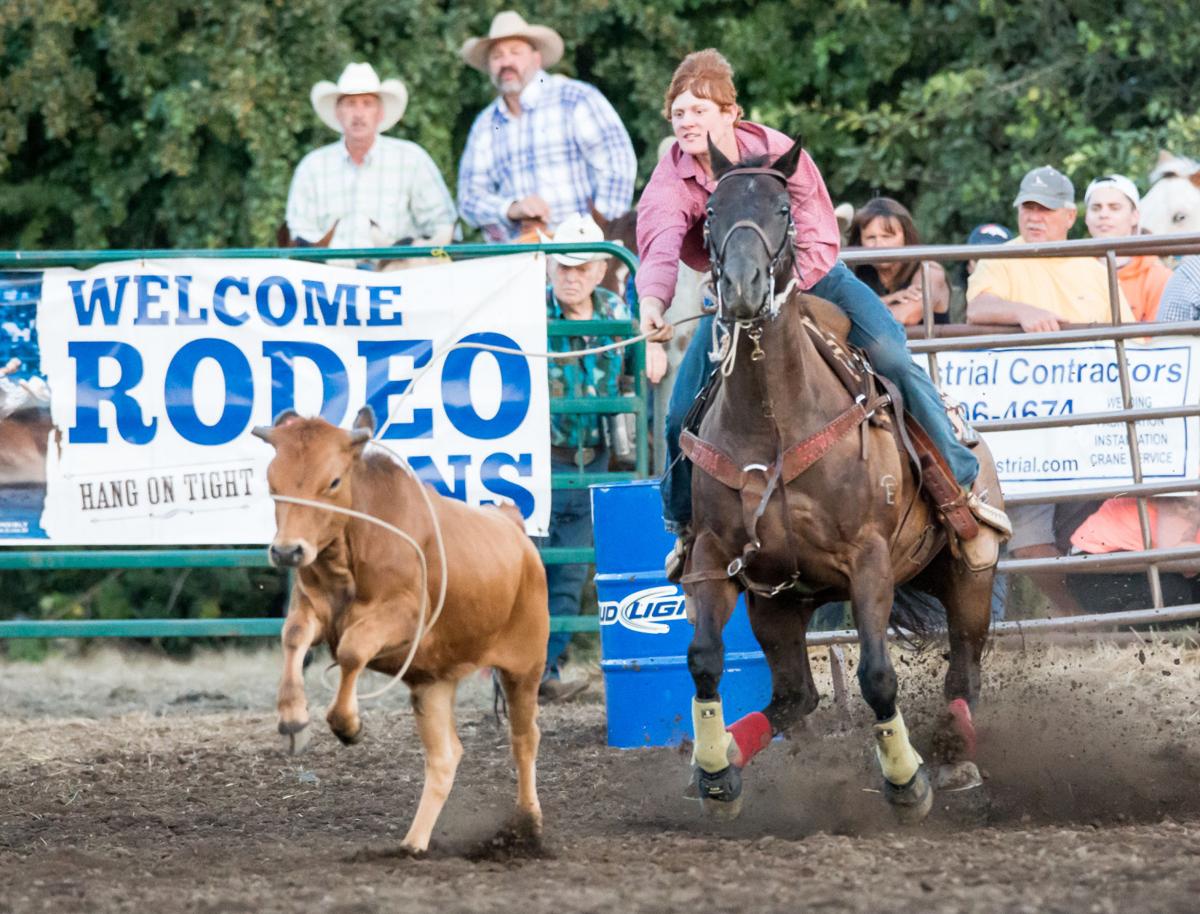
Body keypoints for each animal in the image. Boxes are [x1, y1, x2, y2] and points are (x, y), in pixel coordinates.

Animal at [258, 403, 552, 849]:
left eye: (333, 481)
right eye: (272, 482)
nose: (288, 550)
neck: (353, 549)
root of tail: (514, 528)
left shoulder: (406, 618)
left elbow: (352, 649)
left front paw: (348, 725)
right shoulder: (311, 608)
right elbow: (293, 638)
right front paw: (293, 720)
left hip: (525, 666)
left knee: (524, 739)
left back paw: (529, 823)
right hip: (434, 681)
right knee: (446, 756)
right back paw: (414, 843)